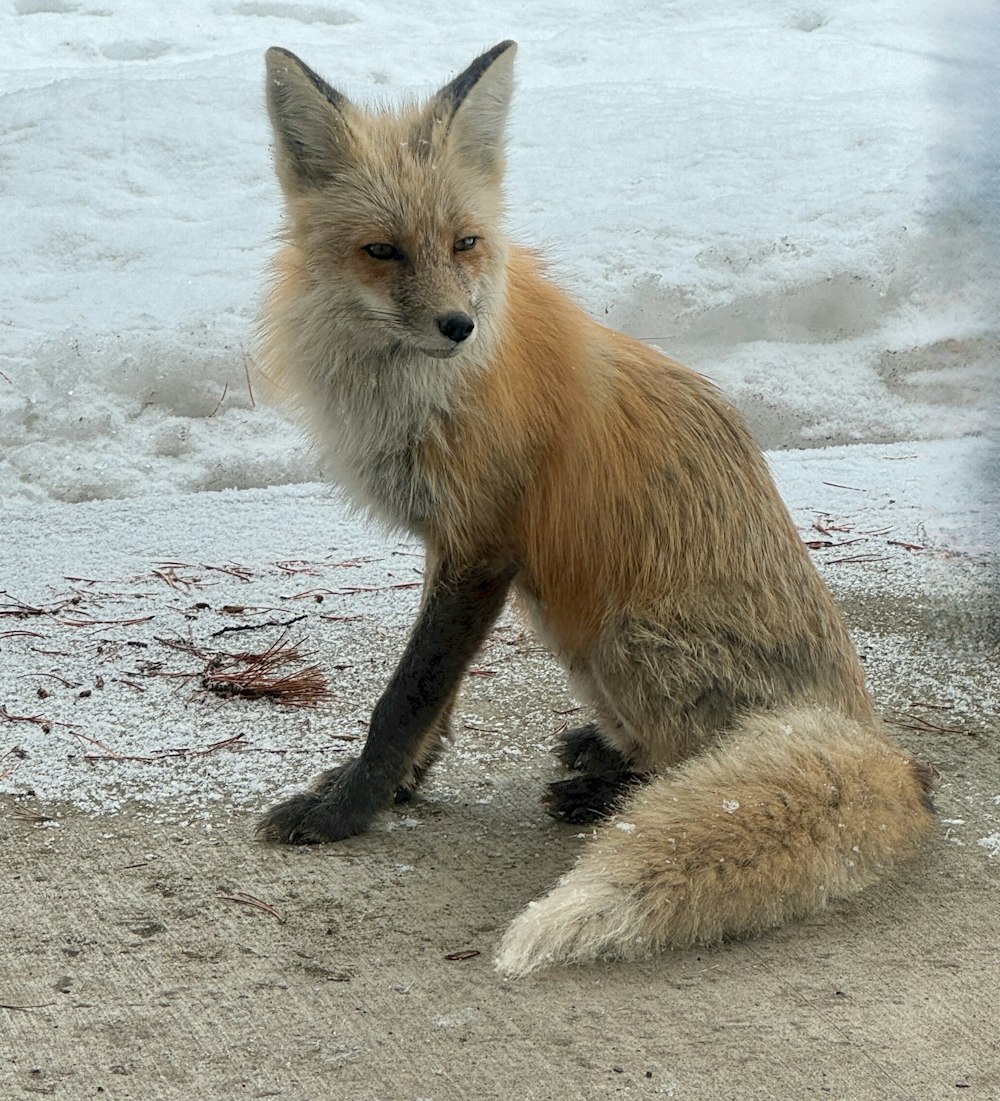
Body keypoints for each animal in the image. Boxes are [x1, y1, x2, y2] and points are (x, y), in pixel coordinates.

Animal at [252, 38, 938, 977]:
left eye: (466, 242)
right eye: (382, 251)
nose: (458, 325)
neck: (424, 390)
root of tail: (876, 738)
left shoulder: (483, 546)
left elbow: (405, 697)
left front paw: (352, 810)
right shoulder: (451, 547)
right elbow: (436, 701)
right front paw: (401, 786)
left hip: (618, 636)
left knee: (689, 765)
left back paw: (606, 790)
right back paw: (600, 752)